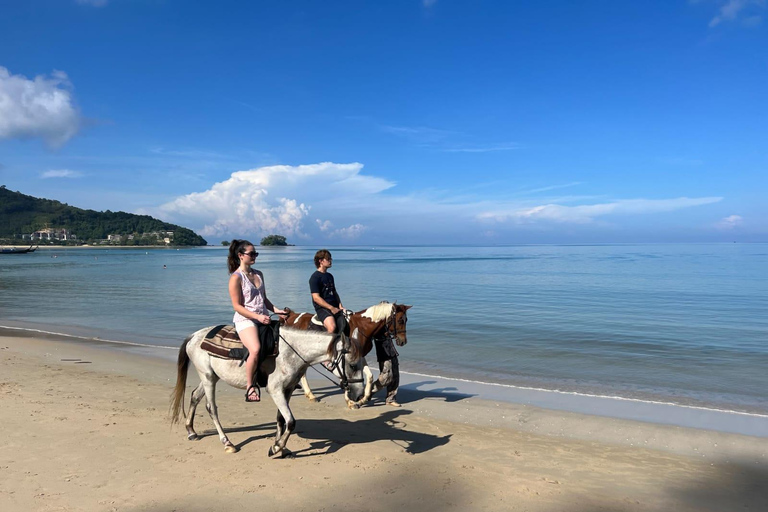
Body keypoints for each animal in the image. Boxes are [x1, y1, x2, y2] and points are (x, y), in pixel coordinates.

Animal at [171, 326, 368, 458]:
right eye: (352, 365)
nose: (358, 394)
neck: (290, 352)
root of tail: (194, 336)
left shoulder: (288, 390)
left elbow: (281, 419)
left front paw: (282, 447)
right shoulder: (276, 390)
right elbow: (291, 421)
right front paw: (276, 448)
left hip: (211, 377)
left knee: (195, 396)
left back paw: (191, 431)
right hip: (208, 378)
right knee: (211, 408)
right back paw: (227, 443)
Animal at [282, 300, 412, 408]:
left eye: (406, 320)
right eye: (400, 320)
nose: (403, 341)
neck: (361, 327)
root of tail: (292, 316)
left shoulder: (360, 356)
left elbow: (369, 376)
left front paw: (363, 399)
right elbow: (345, 377)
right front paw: (350, 401)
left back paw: (309, 394)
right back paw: (310, 394)